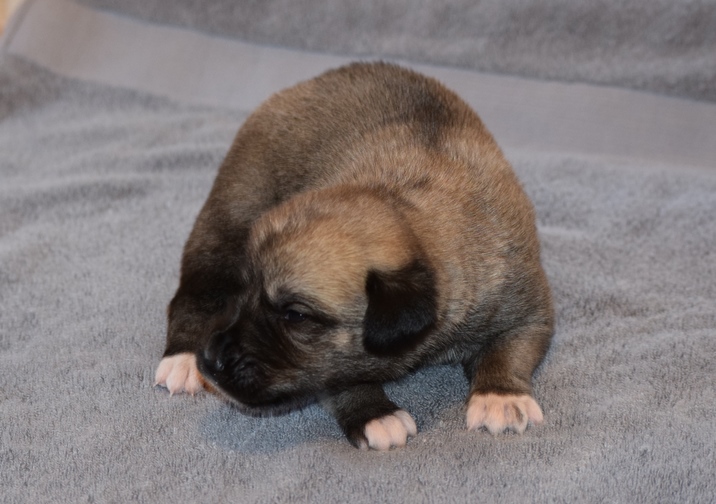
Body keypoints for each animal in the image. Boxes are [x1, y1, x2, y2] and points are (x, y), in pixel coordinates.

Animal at [154, 62, 553, 450]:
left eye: (295, 316)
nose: (210, 359)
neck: (417, 218)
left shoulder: (526, 310)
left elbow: (509, 349)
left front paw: (500, 396)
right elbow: (341, 380)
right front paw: (374, 413)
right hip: (228, 219)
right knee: (193, 292)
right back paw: (182, 358)